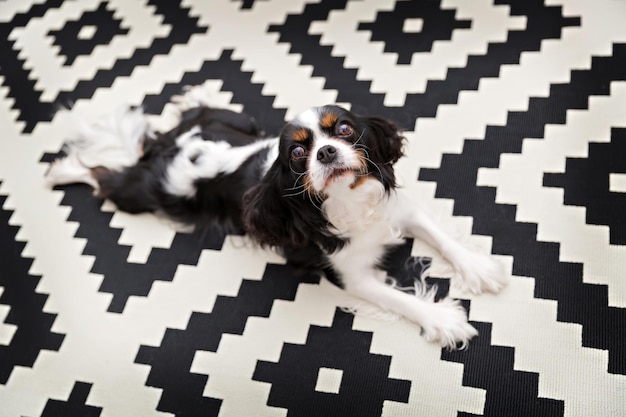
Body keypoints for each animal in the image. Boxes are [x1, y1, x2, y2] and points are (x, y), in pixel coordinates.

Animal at [47, 87, 508, 348]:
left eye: (343, 130)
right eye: (299, 152)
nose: (326, 152)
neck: (345, 202)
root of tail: (171, 148)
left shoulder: (396, 209)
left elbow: (440, 235)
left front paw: (479, 268)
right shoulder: (350, 276)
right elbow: (400, 298)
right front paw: (444, 320)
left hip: (233, 120)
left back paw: (192, 97)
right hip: (147, 195)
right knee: (103, 176)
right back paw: (61, 171)